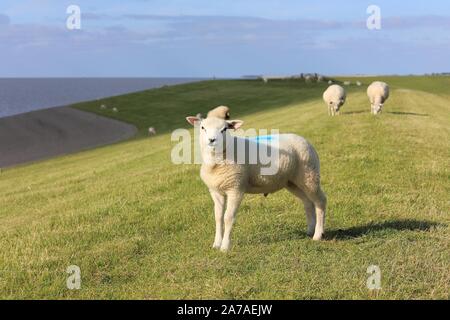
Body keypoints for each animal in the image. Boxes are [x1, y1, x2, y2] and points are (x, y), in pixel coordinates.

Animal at [185, 114, 326, 250]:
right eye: (202, 127)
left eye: (224, 129)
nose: (212, 140)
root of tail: (305, 140)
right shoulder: (216, 191)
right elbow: (218, 217)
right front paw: (216, 244)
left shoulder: (236, 189)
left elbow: (228, 217)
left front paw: (225, 247)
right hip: (293, 182)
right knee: (308, 202)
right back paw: (310, 230)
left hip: (309, 175)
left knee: (320, 201)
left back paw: (318, 234)